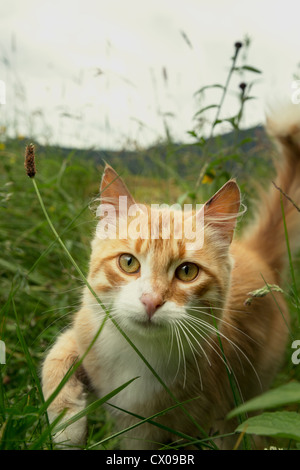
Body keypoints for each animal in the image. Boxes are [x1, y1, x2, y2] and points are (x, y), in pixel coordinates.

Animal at [41, 102, 300, 448]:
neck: (138, 352)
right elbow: (54, 359)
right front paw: (66, 425)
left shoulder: (148, 426)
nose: (151, 301)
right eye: (128, 263)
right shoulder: (86, 330)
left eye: (187, 271)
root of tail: (257, 254)